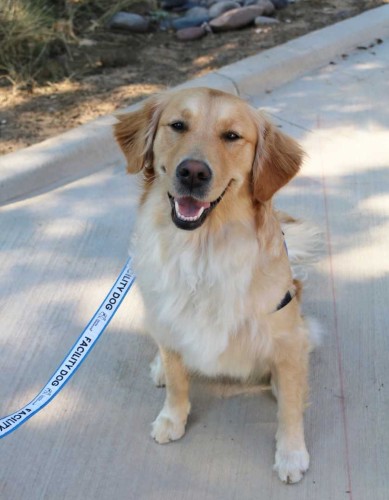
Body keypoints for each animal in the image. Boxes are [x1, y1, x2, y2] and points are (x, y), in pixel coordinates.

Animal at [114, 87, 316, 484]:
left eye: (232, 136)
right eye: (178, 125)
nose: (192, 172)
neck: (202, 251)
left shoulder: (288, 338)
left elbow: (290, 405)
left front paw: (291, 453)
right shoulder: (170, 319)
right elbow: (178, 380)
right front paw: (172, 418)